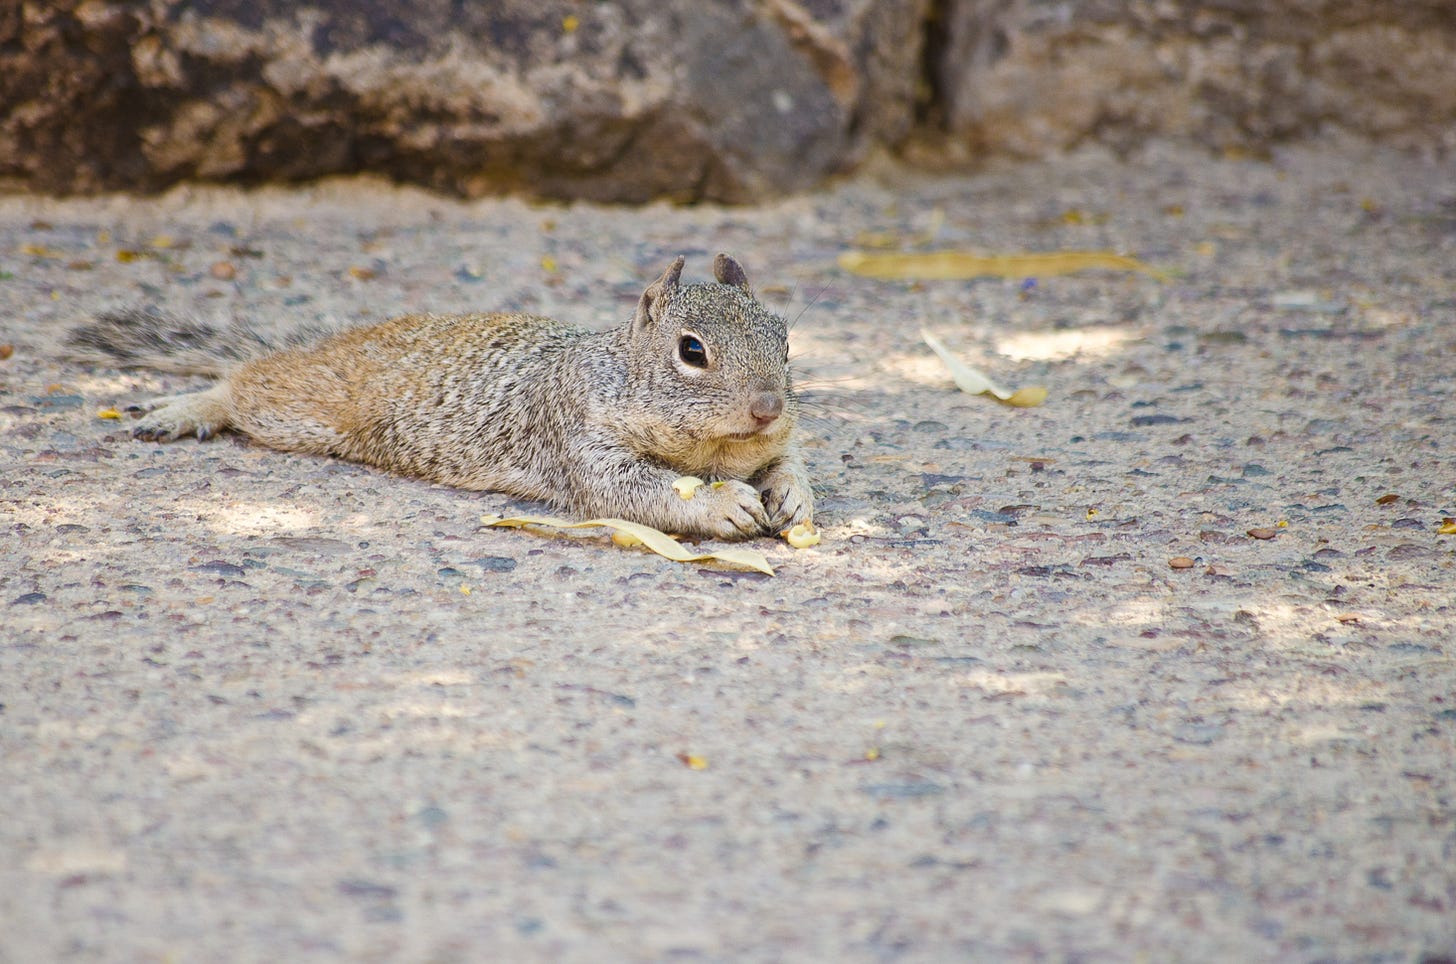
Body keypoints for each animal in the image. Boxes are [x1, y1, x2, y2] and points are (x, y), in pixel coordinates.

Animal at [68, 254, 814, 541]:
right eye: (691, 351)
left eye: (784, 338)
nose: (769, 408)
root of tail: (346, 339)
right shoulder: (580, 441)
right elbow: (637, 492)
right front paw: (721, 506)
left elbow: (786, 463)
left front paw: (794, 496)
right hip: (299, 407)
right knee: (244, 379)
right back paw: (185, 409)